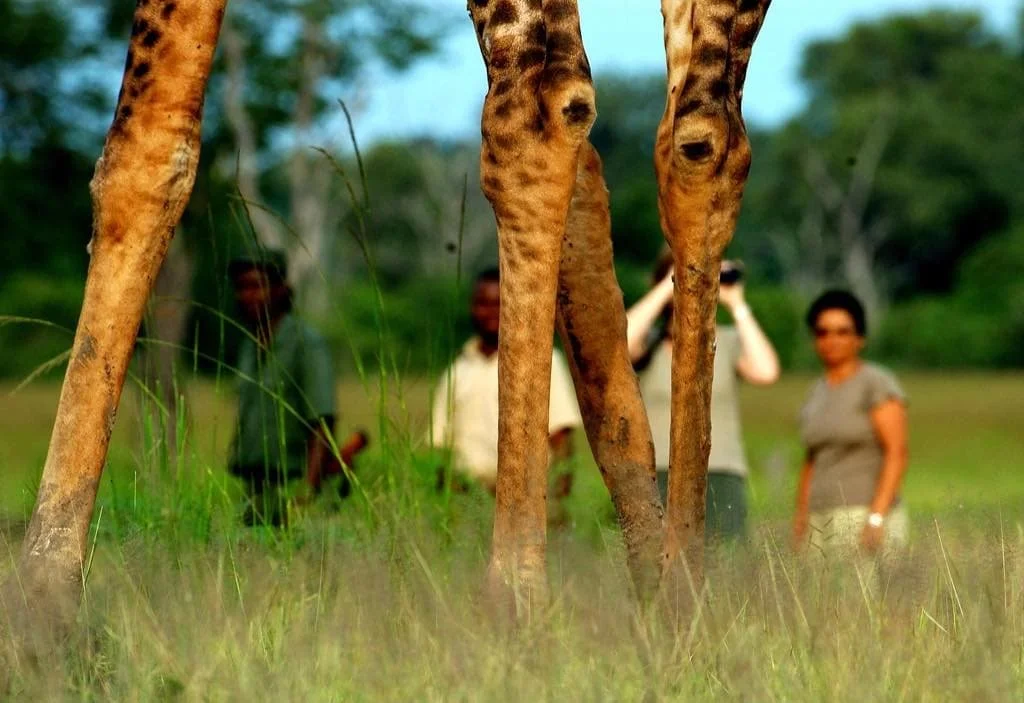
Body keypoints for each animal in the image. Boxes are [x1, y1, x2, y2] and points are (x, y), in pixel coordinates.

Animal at [3, 0, 770, 624]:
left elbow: (145, 143)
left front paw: (44, 601)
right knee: (699, 133)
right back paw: (677, 590)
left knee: (544, 96)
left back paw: (518, 600)